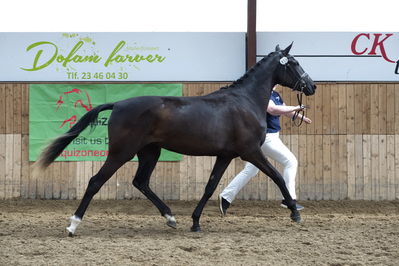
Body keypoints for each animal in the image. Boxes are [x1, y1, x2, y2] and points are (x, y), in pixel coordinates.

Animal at [35, 43, 316, 235]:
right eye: (294, 63)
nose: (311, 86)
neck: (244, 102)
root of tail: (118, 104)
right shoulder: (251, 152)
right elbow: (277, 176)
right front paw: (294, 212)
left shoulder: (225, 155)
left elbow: (210, 186)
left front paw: (195, 222)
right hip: (121, 152)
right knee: (96, 181)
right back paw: (73, 225)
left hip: (150, 152)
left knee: (141, 182)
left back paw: (170, 218)